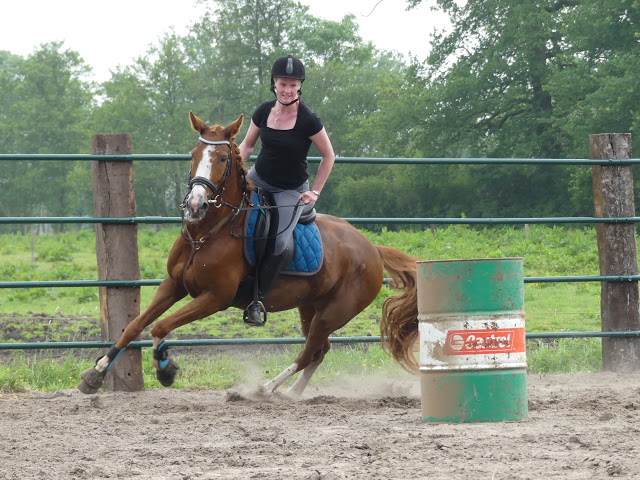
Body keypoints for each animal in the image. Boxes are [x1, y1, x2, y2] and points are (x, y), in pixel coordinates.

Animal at [76, 112, 420, 398]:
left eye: (222, 157)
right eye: (193, 155)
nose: (195, 204)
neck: (205, 234)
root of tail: (371, 248)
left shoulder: (215, 298)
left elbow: (160, 327)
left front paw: (166, 369)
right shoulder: (173, 285)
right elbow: (135, 326)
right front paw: (96, 373)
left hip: (335, 312)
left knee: (308, 352)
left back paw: (263, 389)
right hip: (311, 307)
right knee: (319, 350)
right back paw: (292, 393)